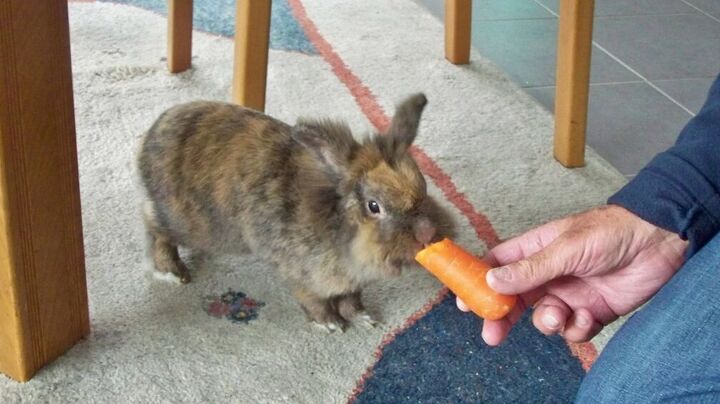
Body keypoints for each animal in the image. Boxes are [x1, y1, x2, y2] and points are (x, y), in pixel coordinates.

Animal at [137, 93, 454, 332]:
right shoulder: (304, 276)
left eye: (423, 186)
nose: (427, 232)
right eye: (374, 206)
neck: (339, 225)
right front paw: (330, 324)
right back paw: (171, 272)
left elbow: (351, 300)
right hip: (189, 223)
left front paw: (364, 319)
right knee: (153, 225)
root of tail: (154, 130)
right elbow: (315, 301)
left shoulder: (351, 282)